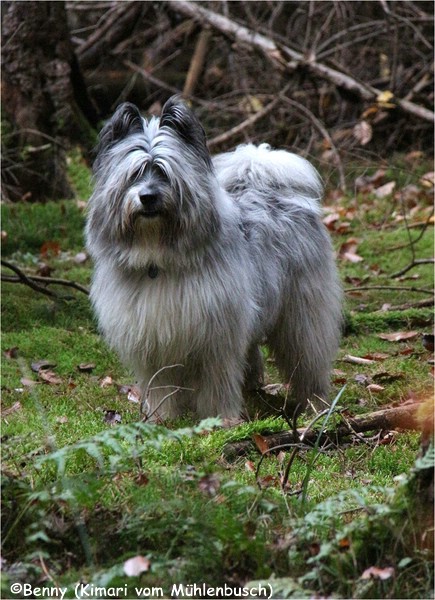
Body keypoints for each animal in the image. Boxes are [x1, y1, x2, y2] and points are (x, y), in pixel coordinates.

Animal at [86, 95, 344, 422]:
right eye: (134, 174)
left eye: (163, 172)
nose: (147, 197)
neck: (157, 260)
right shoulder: (154, 342)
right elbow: (161, 384)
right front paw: (161, 418)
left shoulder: (217, 339)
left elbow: (218, 381)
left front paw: (222, 419)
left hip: (302, 316)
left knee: (309, 360)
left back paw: (315, 405)